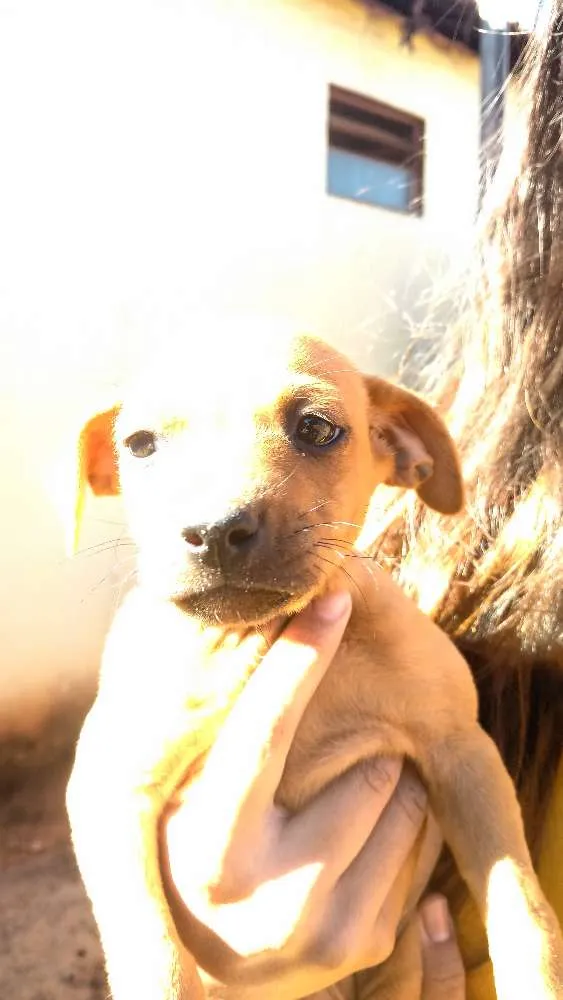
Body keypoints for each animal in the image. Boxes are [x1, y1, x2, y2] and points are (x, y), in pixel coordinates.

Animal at [67, 330, 563, 1000]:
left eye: (316, 428)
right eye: (141, 444)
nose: (216, 530)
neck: (271, 635)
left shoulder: (463, 753)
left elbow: (520, 902)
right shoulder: (109, 788)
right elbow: (153, 952)